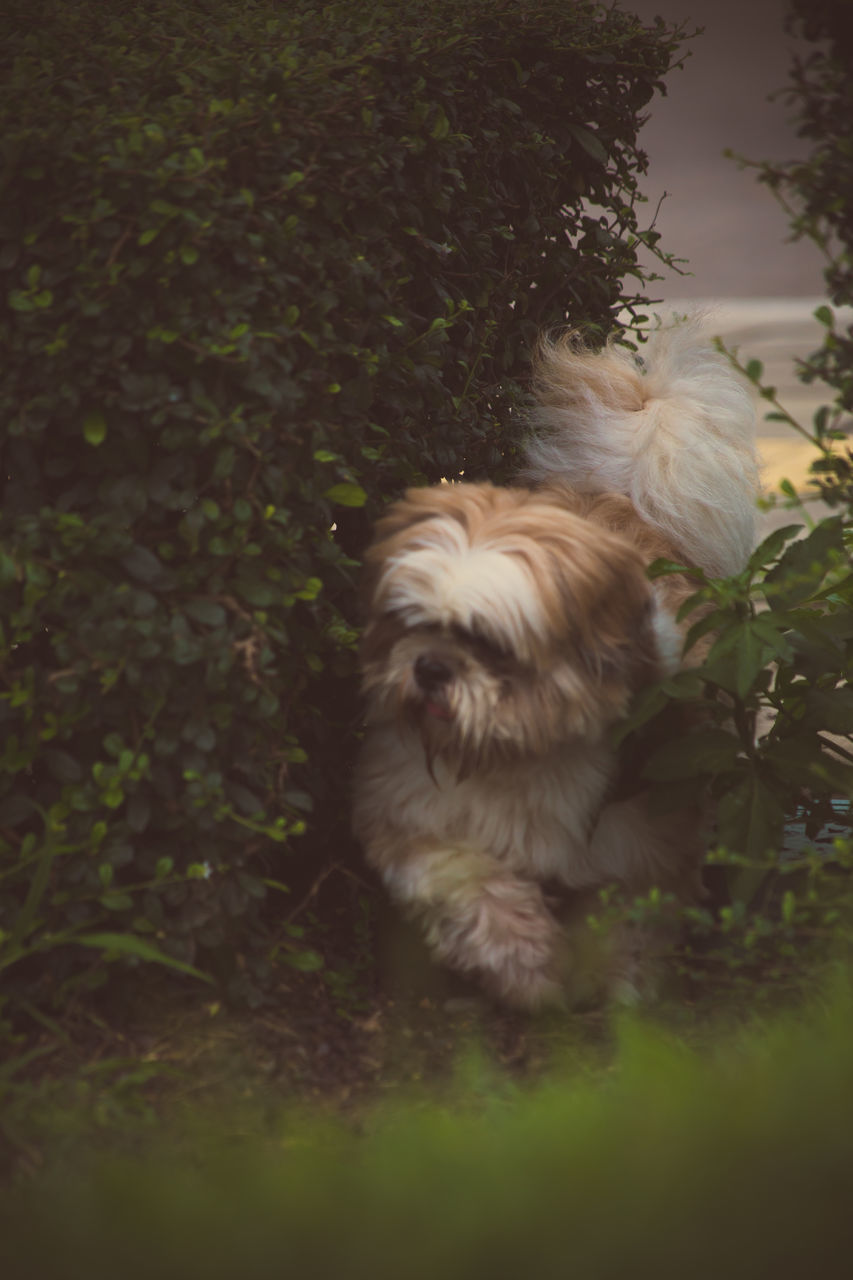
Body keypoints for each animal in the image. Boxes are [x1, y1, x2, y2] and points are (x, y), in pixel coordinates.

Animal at [350, 314, 758, 1003]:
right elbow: (464, 883)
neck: (518, 753)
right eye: (415, 623)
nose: (430, 667)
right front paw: (526, 965)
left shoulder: (636, 840)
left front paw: (621, 994)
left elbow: (628, 921)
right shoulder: (419, 814)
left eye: (492, 643)